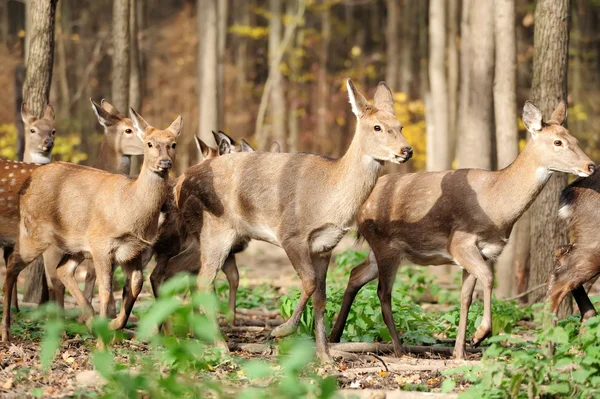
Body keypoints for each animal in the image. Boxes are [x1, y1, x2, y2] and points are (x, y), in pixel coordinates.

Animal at [1, 110, 182, 344]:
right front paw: (103, 339)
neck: (130, 208)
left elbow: (135, 285)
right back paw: (6, 331)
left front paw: (113, 325)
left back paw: (88, 321)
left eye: (173, 144)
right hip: (34, 233)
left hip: (74, 245)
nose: (165, 162)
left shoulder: (133, 251)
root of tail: (28, 183)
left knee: (62, 270)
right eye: (149, 143)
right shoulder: (101, 244)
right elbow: (105, 290)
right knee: (13, 265)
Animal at [173, 79, 412, 360]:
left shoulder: (325, 246)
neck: (328, 198)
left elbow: (321, 296)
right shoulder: (291, 234)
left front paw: (325, 356)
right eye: (377, 127)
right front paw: (281, 331)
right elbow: (308, 283)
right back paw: (220, 346)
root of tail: (179, 182)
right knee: (203, 281)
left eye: (400, 125)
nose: (406, 150)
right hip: (216, 228)